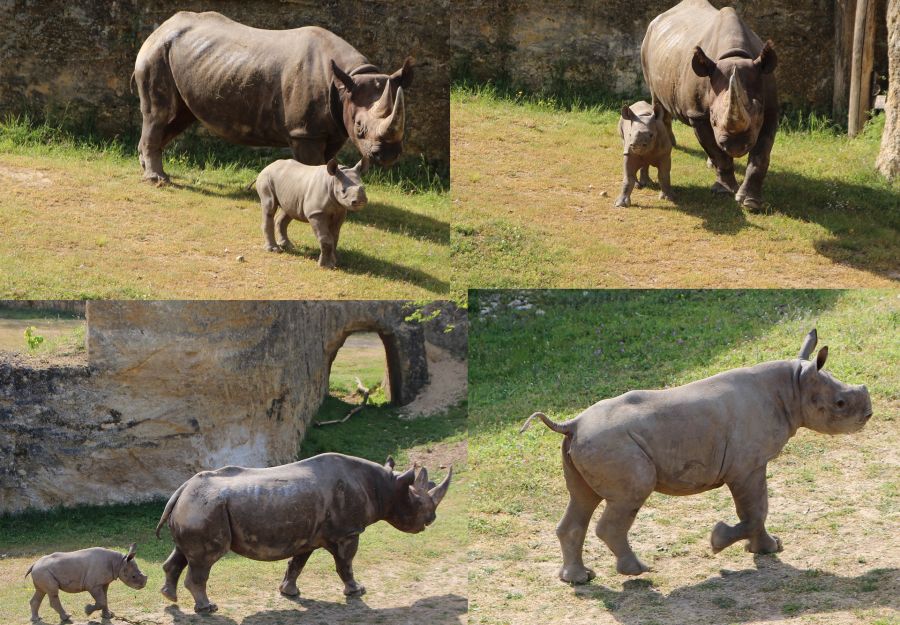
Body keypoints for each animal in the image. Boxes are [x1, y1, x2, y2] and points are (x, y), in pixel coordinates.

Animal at [133, 11, 412, 183]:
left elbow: (327, 160)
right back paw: (157, 180)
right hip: (157, 53)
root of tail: (162, 27)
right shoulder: (305, 132)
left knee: (179, 116)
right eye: (360, 126)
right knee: (159, 113)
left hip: (183, 57)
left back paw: (147, 169)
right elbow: (312, 164)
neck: (349, 80)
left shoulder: (333, 127)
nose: (389, 156)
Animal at [156, 450, 454, 612]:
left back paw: (170, 596)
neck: (385, 488)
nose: (431, 519)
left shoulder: (308, 535)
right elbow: (346, 564)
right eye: (418, 504)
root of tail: (180, 491)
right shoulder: (347, 532)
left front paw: (289, 593)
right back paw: (208, 609)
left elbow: (297, 563)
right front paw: (357, 591)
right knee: (205, 559)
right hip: (205, 508)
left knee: (183, 553)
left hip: (196, 507)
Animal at [520, 330, 872, 584]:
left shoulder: (751, 464)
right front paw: (719, 542)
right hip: (612, 445)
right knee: (630, 494)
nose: (868, 414)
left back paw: (579, 580)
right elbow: (755, 510)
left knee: (582, 499)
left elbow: (758, 509)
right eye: (840, 404)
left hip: (586, 445)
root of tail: (573, 423)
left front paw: (769, 549)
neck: (794, 385)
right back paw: (638, 571)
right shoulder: (745, 466)